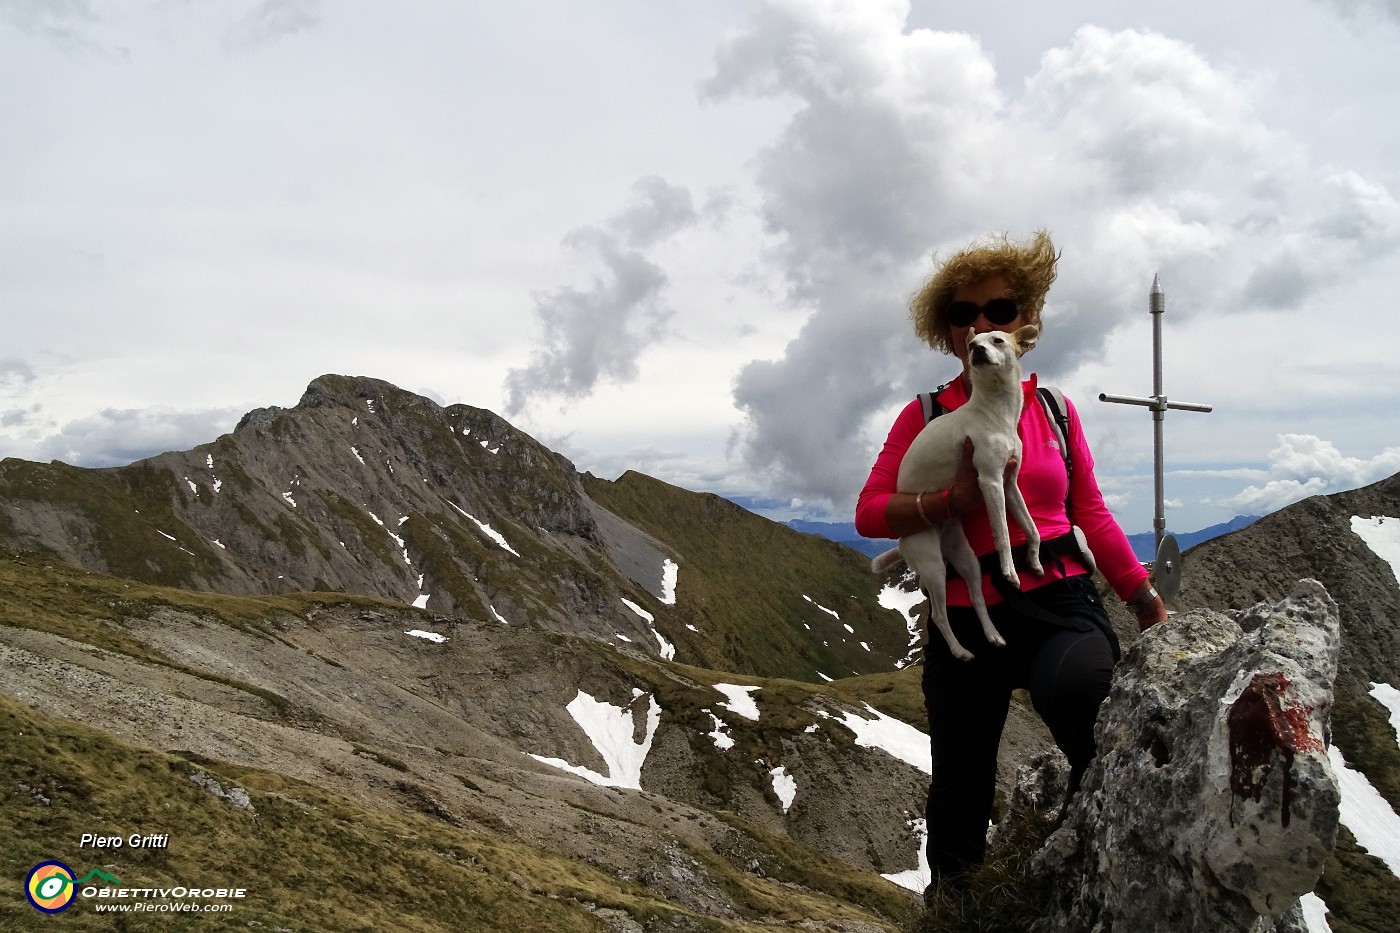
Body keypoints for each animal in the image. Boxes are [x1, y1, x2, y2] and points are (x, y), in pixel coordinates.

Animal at [868, 323, 1047, 658]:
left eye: (997, 340)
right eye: (973, 343)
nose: (977, 350)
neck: (996, 412)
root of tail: (902, 542)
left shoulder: (1009, 483)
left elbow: (1032, 528)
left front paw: (1034, 561)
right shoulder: (990, 481)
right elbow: (1003, 534)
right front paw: (1010, 571)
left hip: (968, 561)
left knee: (977, 598)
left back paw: (993, 635)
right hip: (934, 568)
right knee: (940, 615)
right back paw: (960, 651)